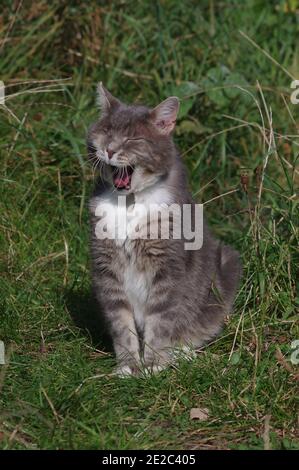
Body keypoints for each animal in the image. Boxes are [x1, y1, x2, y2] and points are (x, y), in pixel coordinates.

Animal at [88, 82, 243, 376]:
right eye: (106, 132)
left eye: (132, 139)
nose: (110, 150)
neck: (130, 202)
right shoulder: (106, 266)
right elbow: (120, 322)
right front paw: (128, 365)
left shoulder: (168, 266)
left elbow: (160, 320)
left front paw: (153, 364)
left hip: (226, 266)